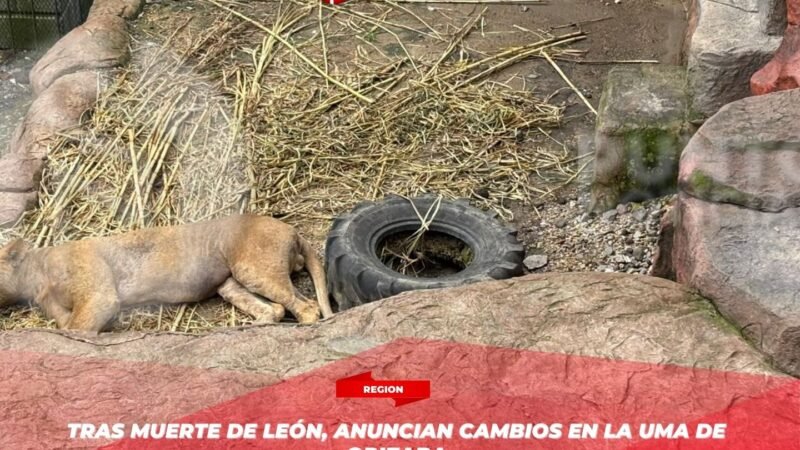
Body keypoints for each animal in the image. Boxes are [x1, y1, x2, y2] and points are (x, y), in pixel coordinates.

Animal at [0, 215, 333, 332]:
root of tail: (290, 229)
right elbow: (66, 323)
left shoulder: (98, 295)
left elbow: (75, 329)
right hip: (230, 284)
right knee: (275, 309)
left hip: (254, 268)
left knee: (306, 307)